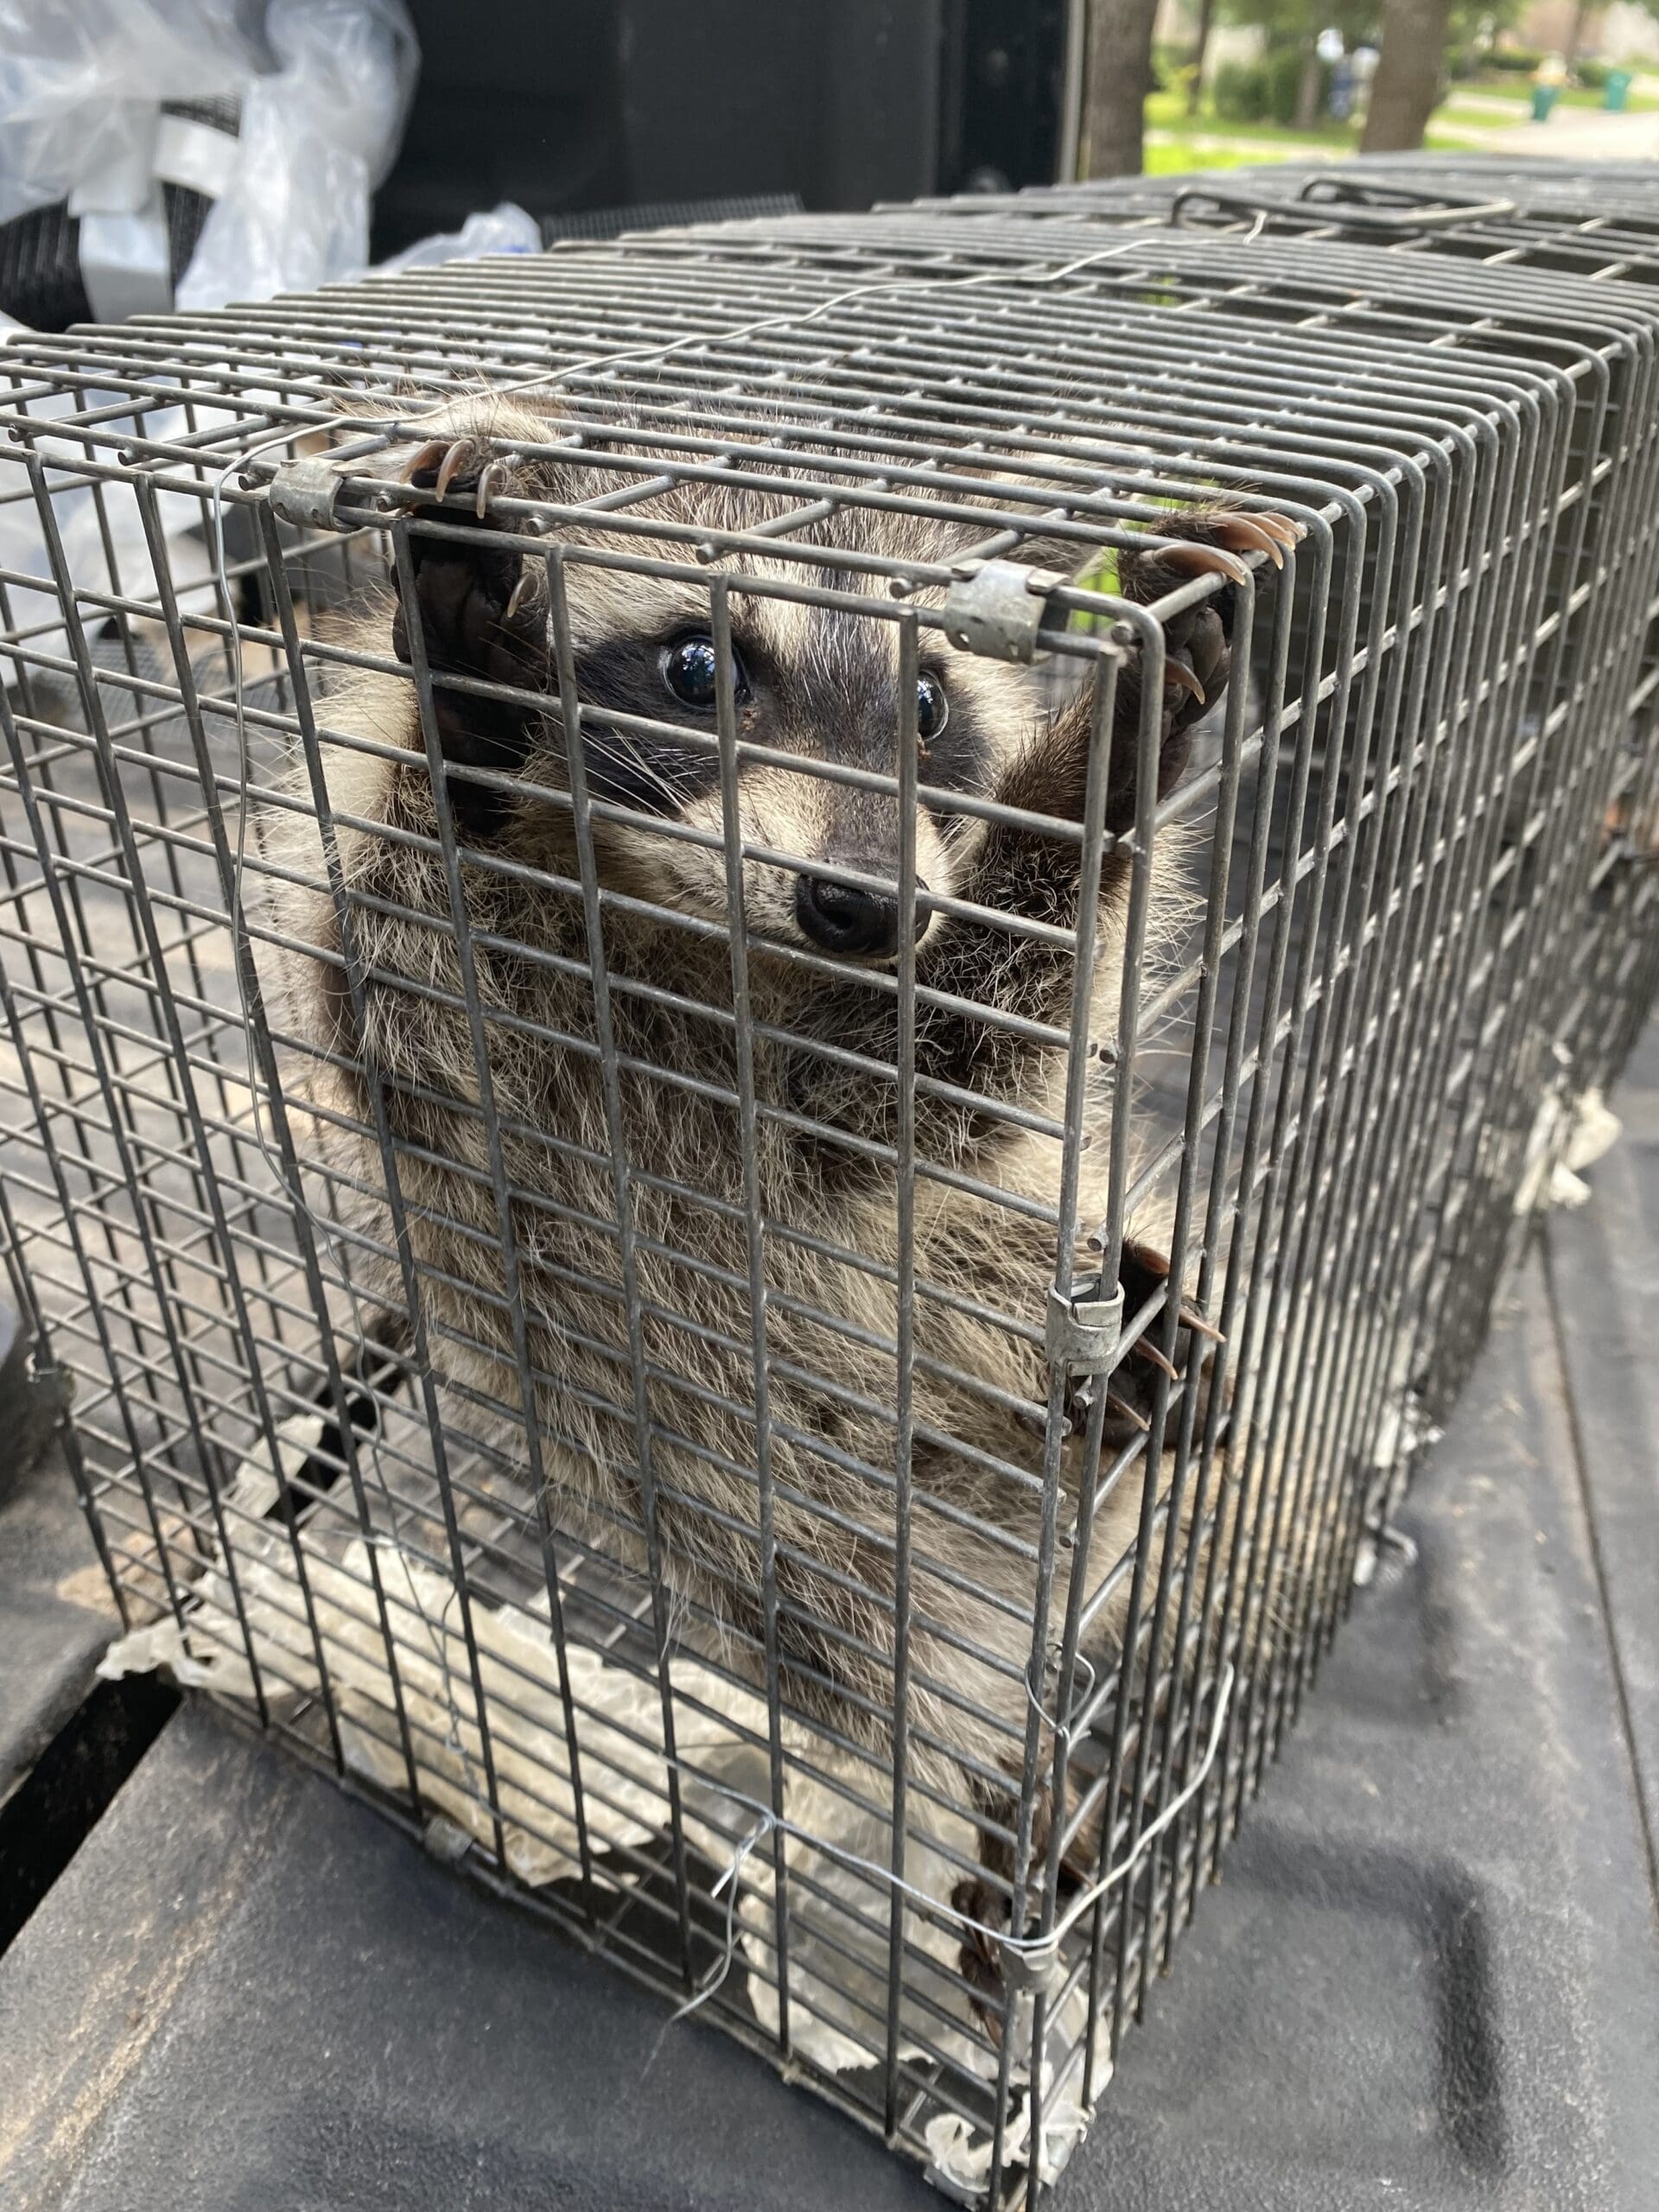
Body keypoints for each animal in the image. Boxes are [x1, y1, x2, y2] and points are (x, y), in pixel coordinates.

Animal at [260, 391, 1297, 2014]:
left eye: (927, 706)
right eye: (698, 669)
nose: (867, 905)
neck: (676, 931)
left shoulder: (843, 1061)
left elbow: (952, 1060)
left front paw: (1117, 749)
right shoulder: (477, 1047)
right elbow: (406, 906)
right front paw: (466, 678)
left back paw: (1129, 1375)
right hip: (800, 1535)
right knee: (908, 1669)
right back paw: (1002, 1772)